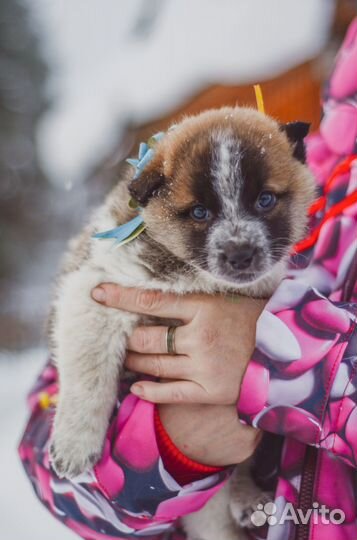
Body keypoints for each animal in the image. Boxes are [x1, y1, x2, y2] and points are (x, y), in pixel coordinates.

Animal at [48, 106, 312, 540]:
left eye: (265, 200)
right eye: (200, 213)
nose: (240, 255)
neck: (193, 274)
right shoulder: (97, 293)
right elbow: (89, 375)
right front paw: (73, 446)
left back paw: (246, 500)